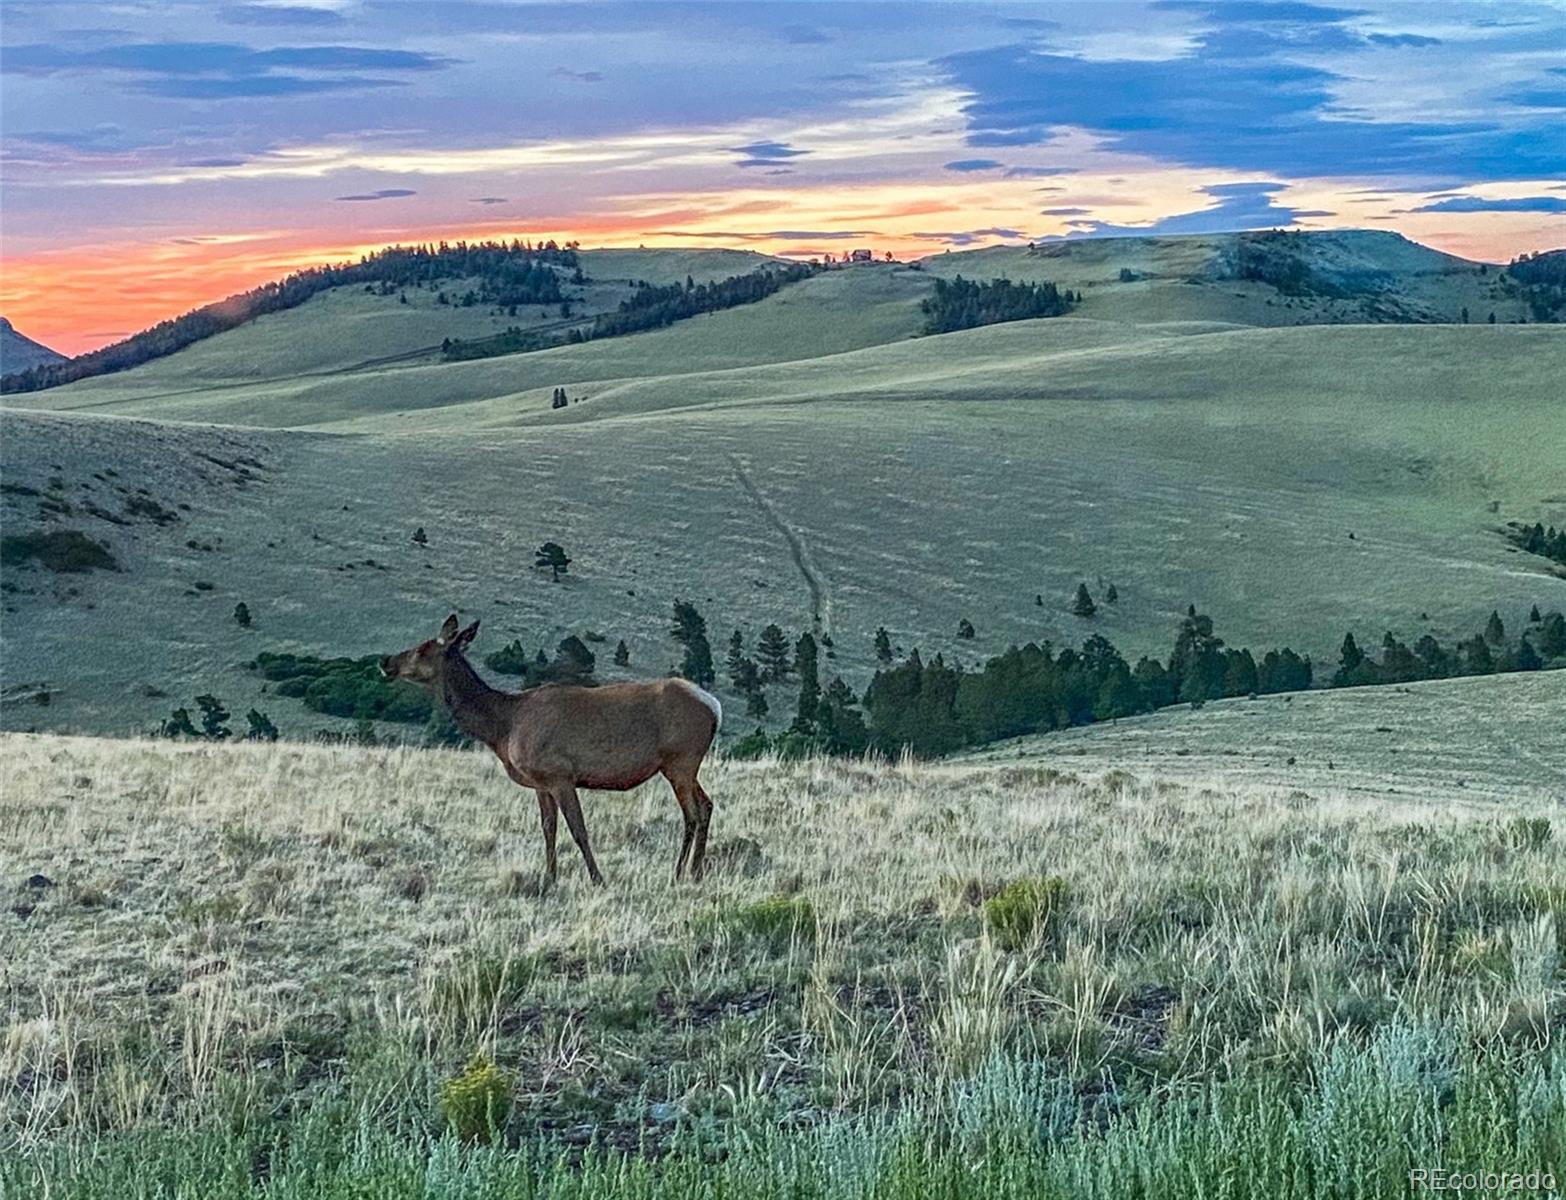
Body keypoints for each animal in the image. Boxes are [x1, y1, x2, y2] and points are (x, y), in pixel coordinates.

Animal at [378, 620, 720, 883]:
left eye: (424, 648)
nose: (385, 662)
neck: (503, 727)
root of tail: (714, 706)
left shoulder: (559, 774)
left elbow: (578, 830)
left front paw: (597, 879)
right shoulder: (540, 783)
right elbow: (548, 828)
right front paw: (549, 877)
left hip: (680, 760)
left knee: (691, 813)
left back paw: (679, 873)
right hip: (683, 766)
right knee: (707, 805)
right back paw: (696, 871)